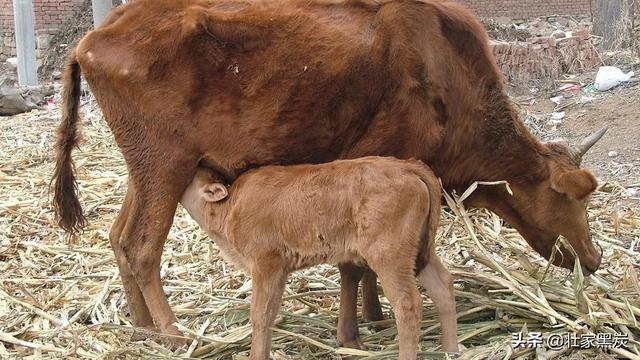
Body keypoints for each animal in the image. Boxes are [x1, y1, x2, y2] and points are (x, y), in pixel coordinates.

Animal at [180, 156, 458, 358]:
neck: (228, 208)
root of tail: (408, 166)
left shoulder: (267, 264)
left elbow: (261, 316)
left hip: (390, 256)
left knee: (407, 304)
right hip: (417, 251)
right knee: (442, 285)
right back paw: (451, 350)